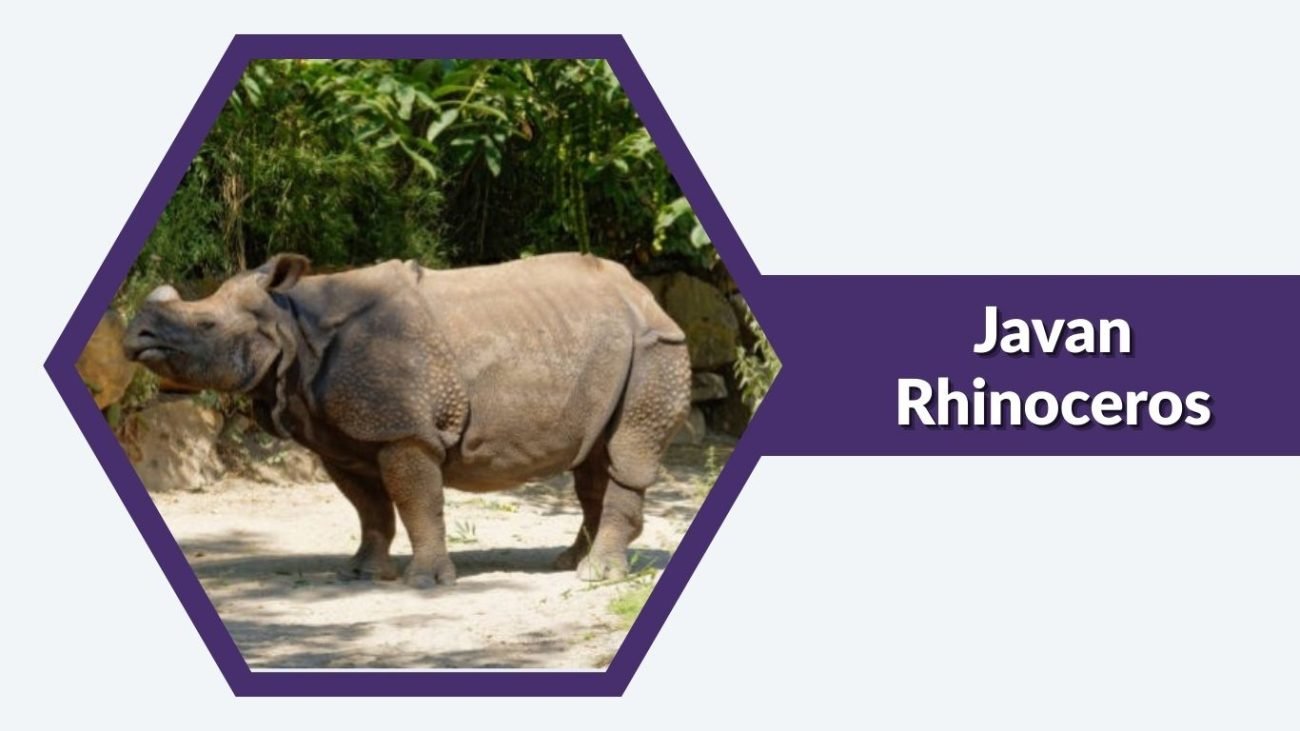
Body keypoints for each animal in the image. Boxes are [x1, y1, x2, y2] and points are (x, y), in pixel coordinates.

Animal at [122, 253, 692, 588]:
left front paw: (425, 582)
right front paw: (361, 573)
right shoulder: (340, 437)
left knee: (626, 453)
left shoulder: (403, 431)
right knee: (592, 461)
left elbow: (418, 501)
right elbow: (369, 508)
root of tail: (648, 297)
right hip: (606, 347)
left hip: (657, 349)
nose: (134, 336)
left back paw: (597, 576)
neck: (291, 326)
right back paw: (569, 563)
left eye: (206, 324)